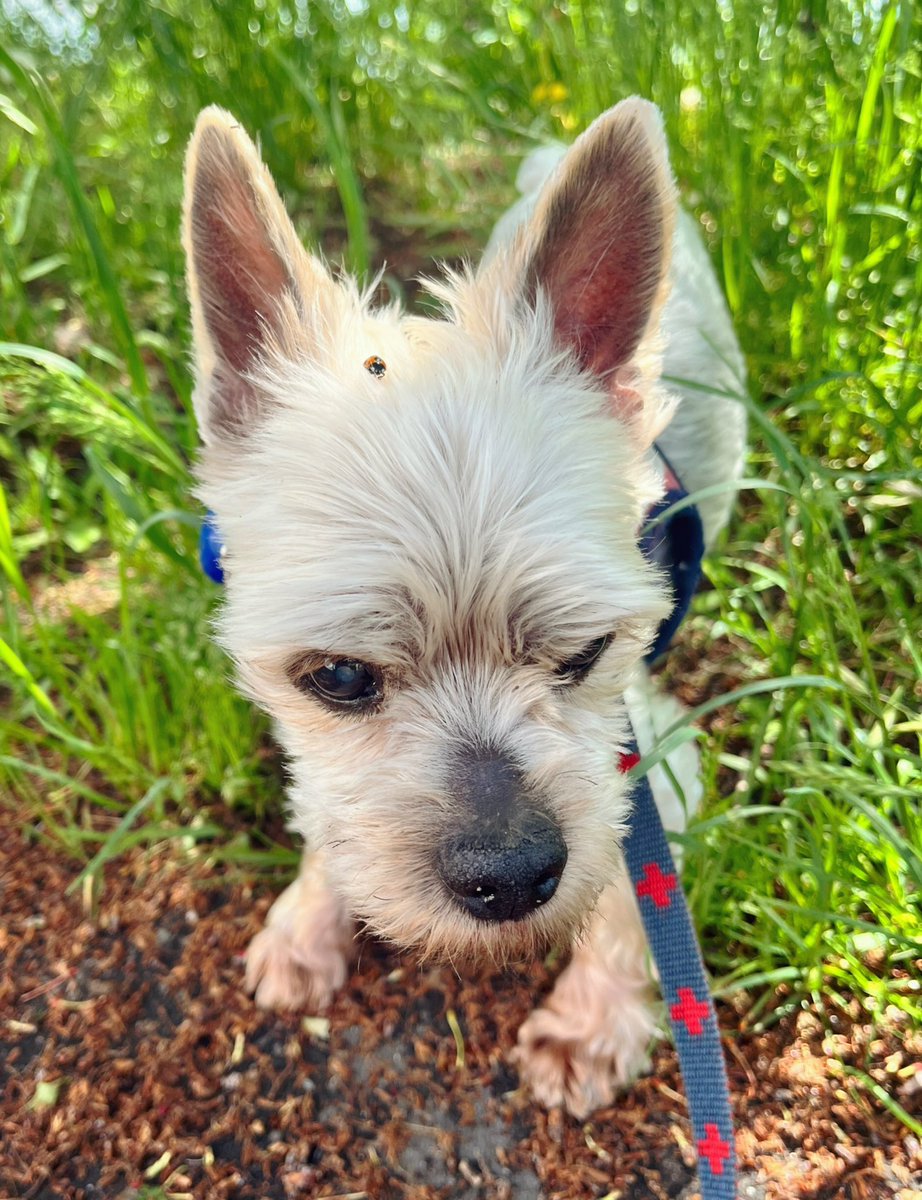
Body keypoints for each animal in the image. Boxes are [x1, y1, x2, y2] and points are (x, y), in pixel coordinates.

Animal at [182, 98, 749, 1118]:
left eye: (586, 653)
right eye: (337, 677)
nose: (513, 878)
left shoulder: (652, 759)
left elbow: (629, 896)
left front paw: (590, 1023)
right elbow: (328, 808)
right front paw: (309, 919)